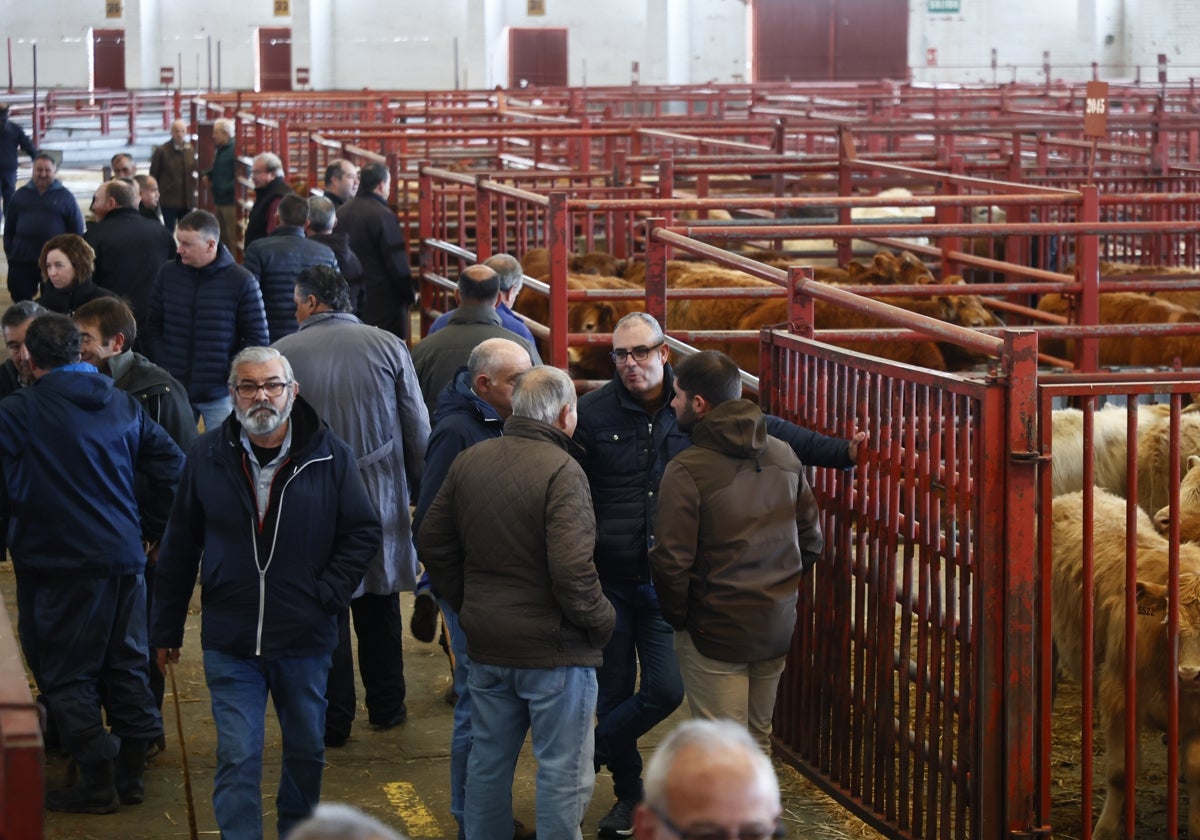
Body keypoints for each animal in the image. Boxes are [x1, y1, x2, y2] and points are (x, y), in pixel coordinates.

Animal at [1051, 489, 1200, 840]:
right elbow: (1121, 772)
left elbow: (1196, 772)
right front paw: (1106, 828)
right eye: (1170, 622)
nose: (1190, 674)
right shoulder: (1119, 697)